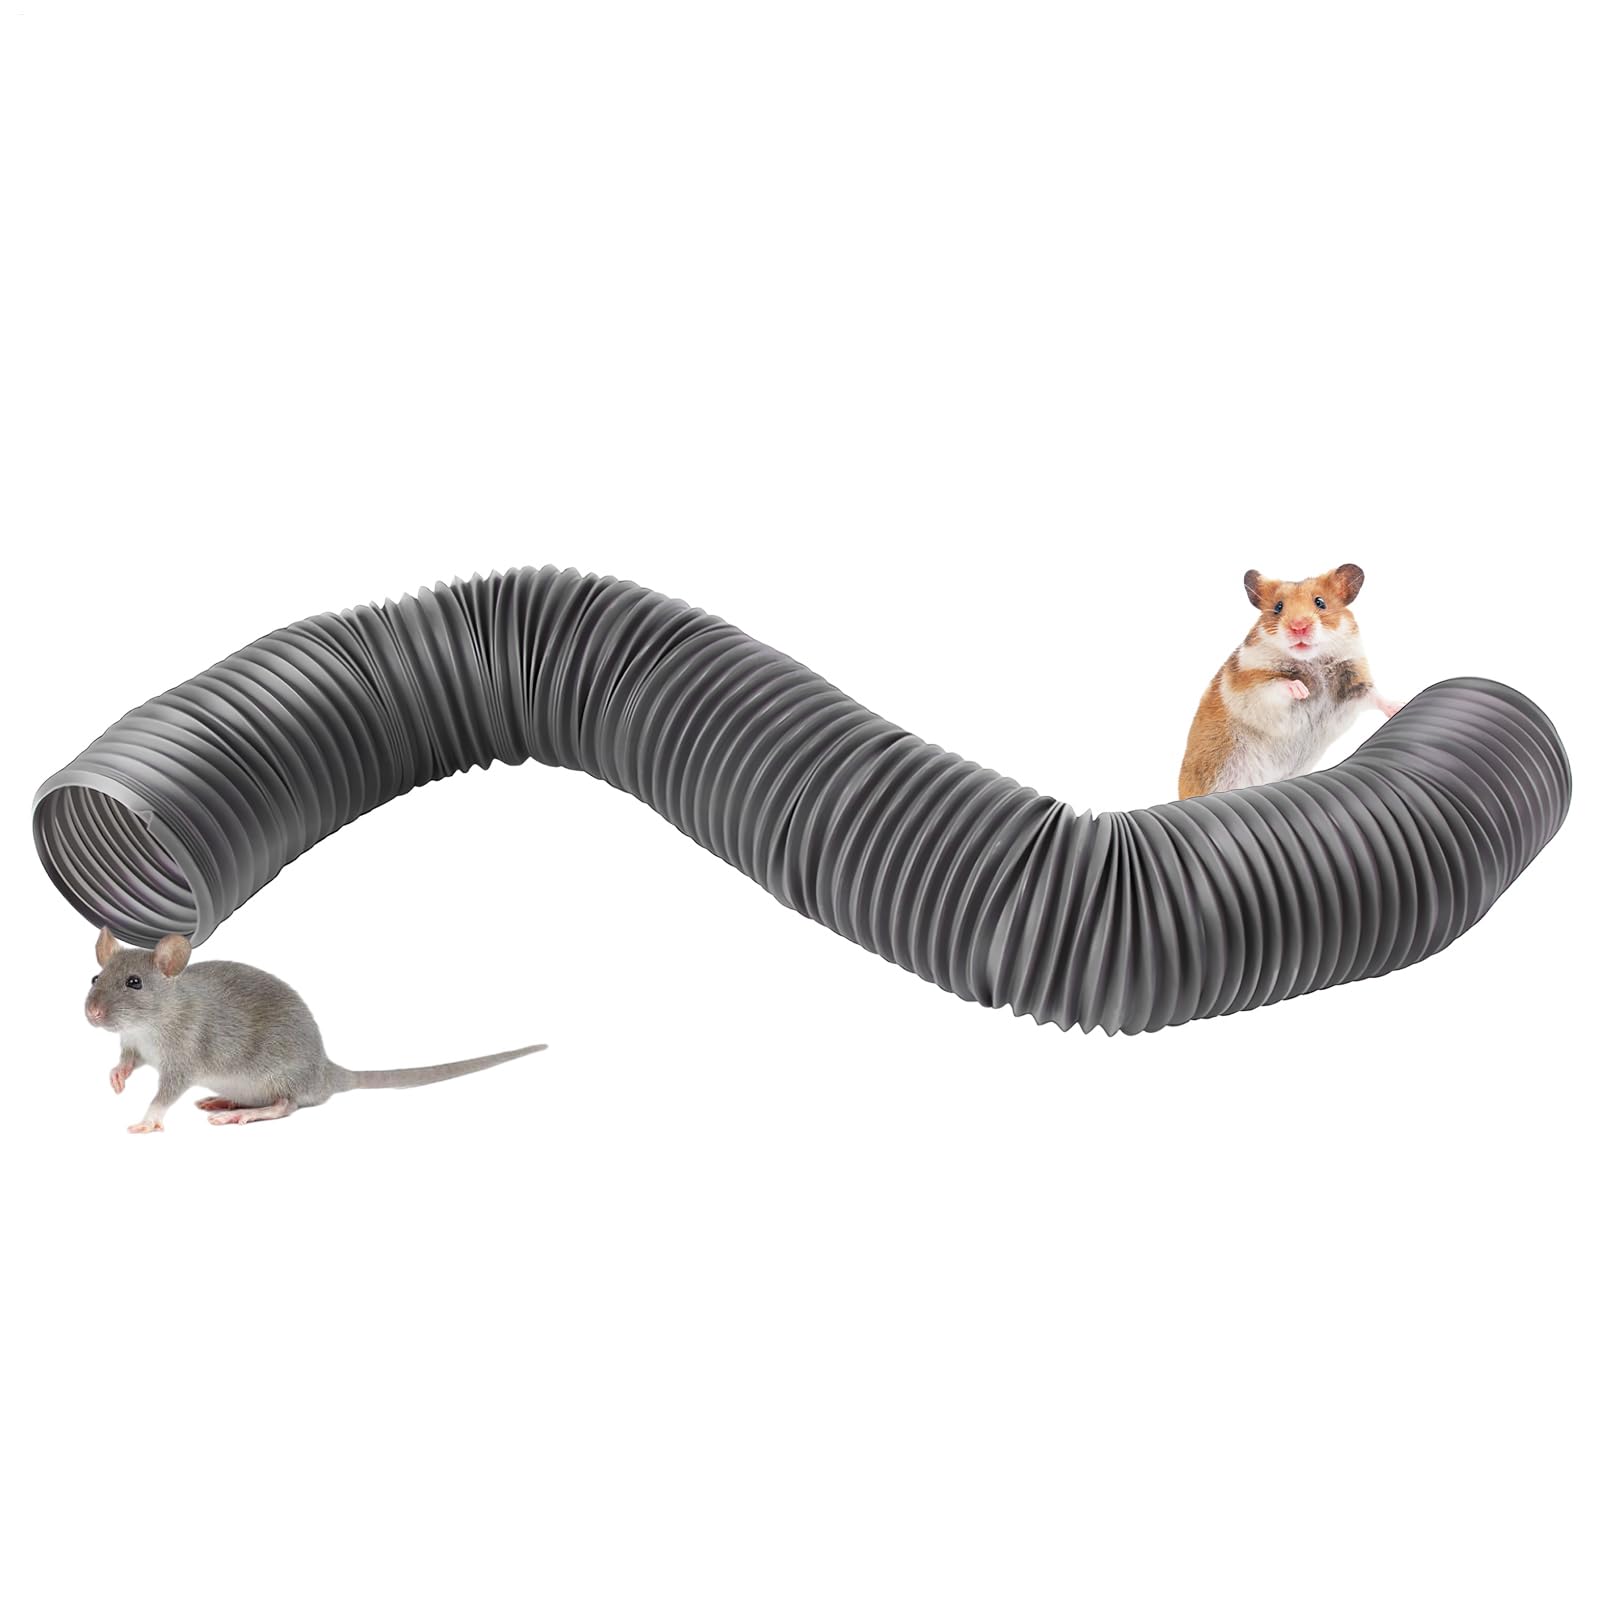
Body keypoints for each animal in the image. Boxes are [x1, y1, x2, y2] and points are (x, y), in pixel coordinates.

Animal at [85, 927, 545, 1133]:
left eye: (134, 983)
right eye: (95, 978)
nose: (91, 1013)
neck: (149, 1025)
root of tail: (325, 1073)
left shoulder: (184, 1055)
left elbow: (166, 1092)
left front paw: (148, 1119)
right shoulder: (134, 1044)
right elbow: (128, 1062)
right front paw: (117, 1077)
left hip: (278, 1075)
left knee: (287, 1105)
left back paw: (248, 1112)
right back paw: (226, 1101)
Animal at [1178, 563, 1401, 800]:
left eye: (1320, 602)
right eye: (1278, 607)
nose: (1298, 627)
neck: (1312, 661)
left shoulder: (1354, 682)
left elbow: (1374, 696)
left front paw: (1399, 706)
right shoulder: (1252, 687)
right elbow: (1277, 685)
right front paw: (1302, 690)